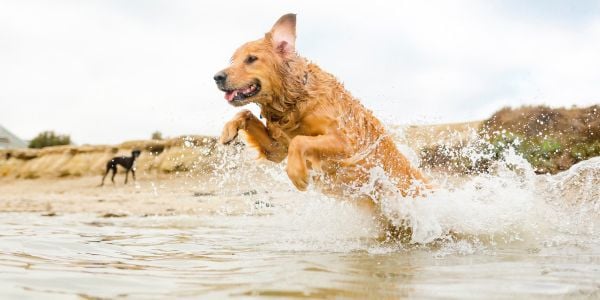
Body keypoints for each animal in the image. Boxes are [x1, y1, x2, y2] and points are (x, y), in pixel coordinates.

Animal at [213, 13, 428, 209]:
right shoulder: (277, 149)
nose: (217, 77)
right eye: (233, 60)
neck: (294, 102)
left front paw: (297, 173)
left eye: (251, 59)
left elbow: (300, 141)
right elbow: (245, 114)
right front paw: (228, 131)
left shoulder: (346, 143)